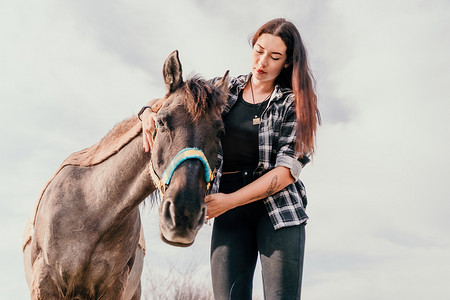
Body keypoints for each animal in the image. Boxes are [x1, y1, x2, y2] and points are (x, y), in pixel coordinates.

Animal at [21, 50, 229, 298]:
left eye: (220, 132)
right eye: (162, 122)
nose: (183, 214)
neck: (93, 211)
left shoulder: (114, 286)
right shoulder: (45, 282)